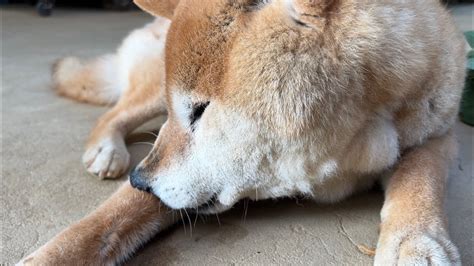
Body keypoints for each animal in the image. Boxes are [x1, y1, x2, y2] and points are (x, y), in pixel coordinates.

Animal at [19, 0, 466, 264]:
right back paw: (107, 149)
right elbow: (107, 221)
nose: (139, 179)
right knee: (114, 112)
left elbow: (419, 180)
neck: (358, 143)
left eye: (200, 110)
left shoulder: (438, 132)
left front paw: (415, 245)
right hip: (148, 90)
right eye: (182, 111)